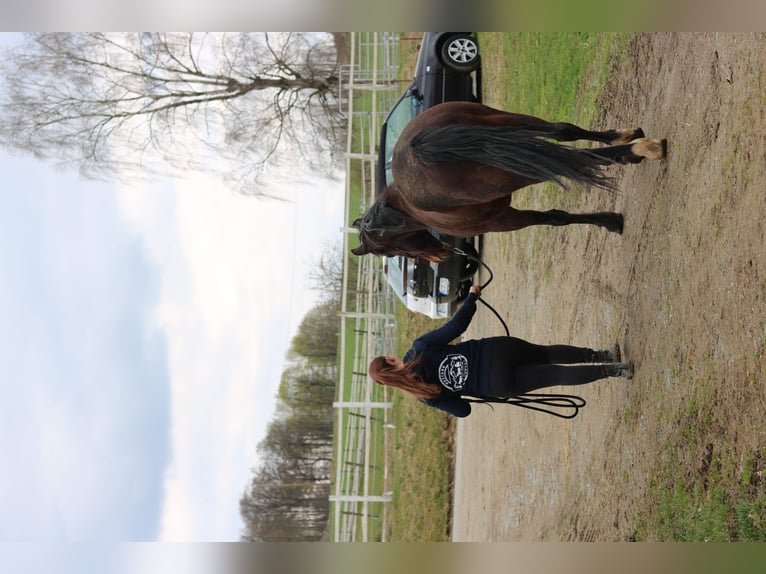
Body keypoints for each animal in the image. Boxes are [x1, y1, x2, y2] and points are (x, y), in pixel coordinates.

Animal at [351, 101, 667, 261]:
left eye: (392, 252)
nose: (440, 257)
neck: (405, 209)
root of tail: (420, 145)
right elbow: (558, 217)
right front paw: (609, 220)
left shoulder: (503, 221)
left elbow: (554, 218)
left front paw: (610, 221)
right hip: (510, 122)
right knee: (563, 131)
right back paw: (625, 138)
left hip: (517, 171)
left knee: (581, 156)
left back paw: (641, 149)